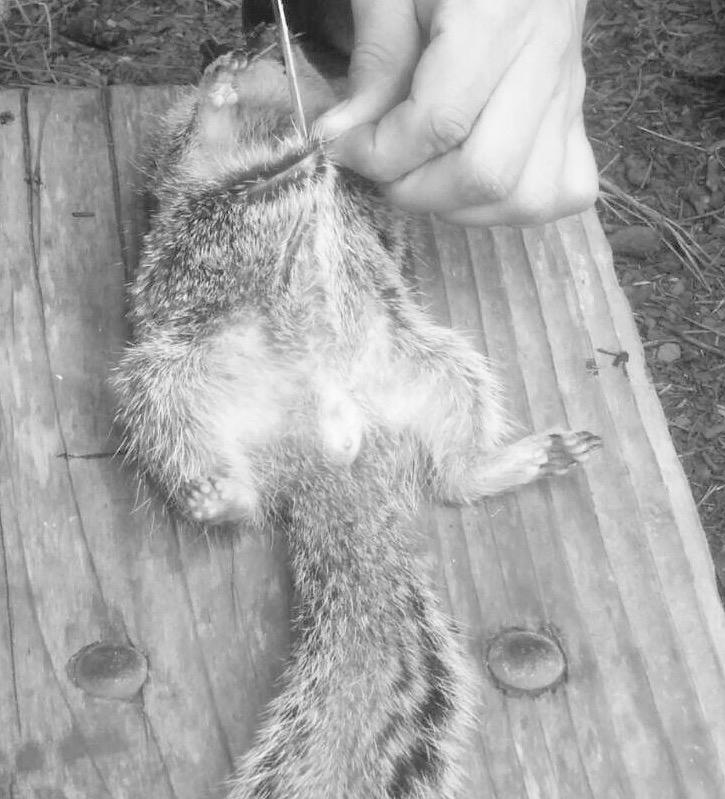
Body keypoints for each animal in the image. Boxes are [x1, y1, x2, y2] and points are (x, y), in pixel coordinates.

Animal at [112, 25, 601, 799]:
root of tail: (327, 456)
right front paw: (228, 102)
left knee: (455, 474)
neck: (271, 136)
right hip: (165, 383)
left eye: (317, 63)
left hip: (442, 368)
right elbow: (201, 168)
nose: (258, 37)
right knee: (206, 464)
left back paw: (513, 460)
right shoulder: (188, 197)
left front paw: (318, 156)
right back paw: (214, 493)